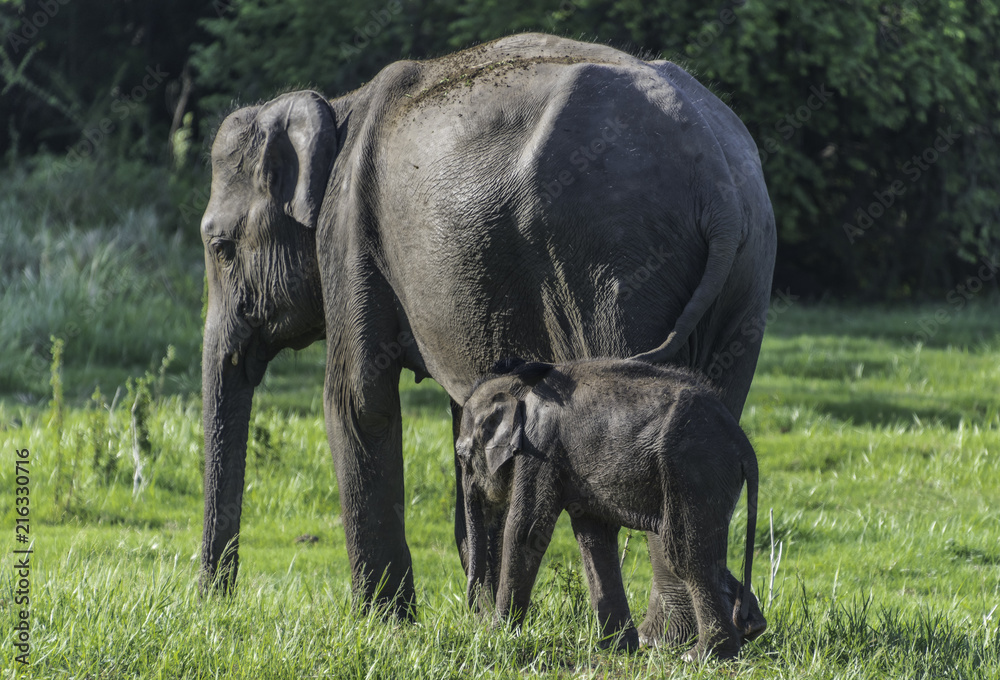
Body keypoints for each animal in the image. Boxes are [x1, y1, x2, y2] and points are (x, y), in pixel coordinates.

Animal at [455, 357, 765, 660]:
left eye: (461, 455)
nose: (472, 608)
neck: (517, 384)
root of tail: (744, 445)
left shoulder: (540, 446)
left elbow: (526, 532)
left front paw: (496, 638)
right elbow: (594, 537)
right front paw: (617, 649)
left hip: (694, 469)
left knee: (684, 555)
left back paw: (704, 656)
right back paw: (751, 629)